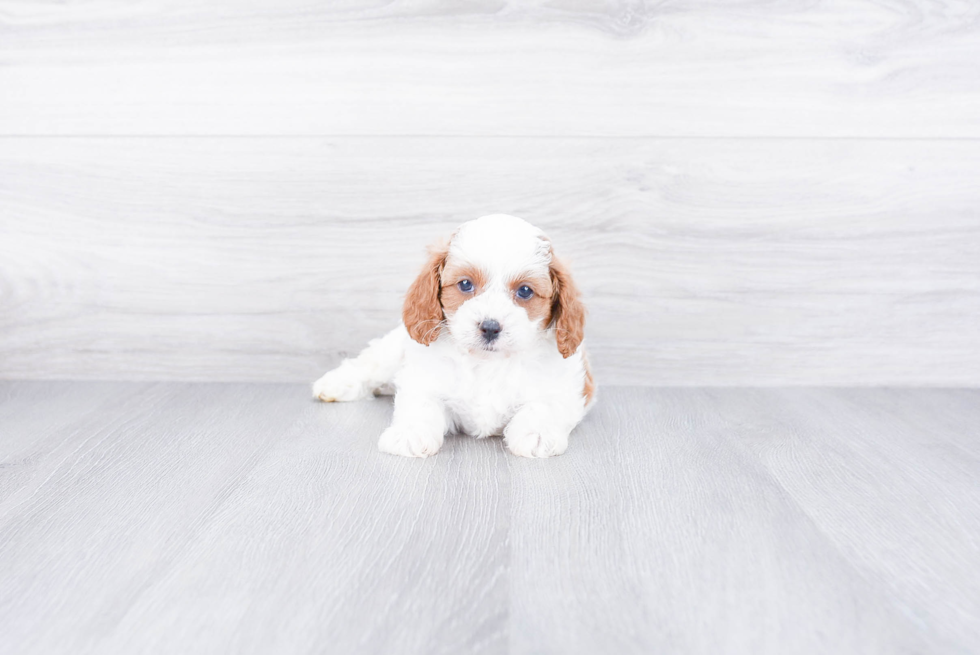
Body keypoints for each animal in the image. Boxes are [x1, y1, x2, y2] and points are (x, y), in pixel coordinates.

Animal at [312, 213, 596, 458]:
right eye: (465, 284)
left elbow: (545, 405)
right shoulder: (422, 377)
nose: (490, 327)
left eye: (525, 291)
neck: (487, 363)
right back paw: (336, 384)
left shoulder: (568, 387)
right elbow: (421, 403)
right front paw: (410, 433)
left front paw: (537, 433)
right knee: (369, 364)